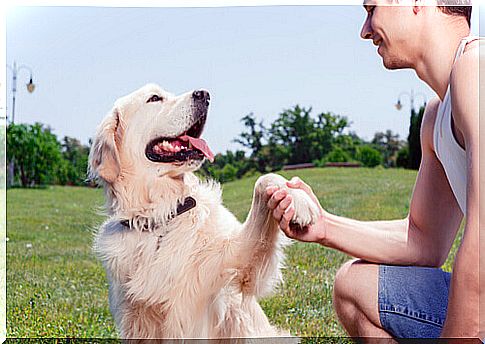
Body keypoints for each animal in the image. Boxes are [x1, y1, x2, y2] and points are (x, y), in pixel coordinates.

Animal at [89, 84, 320, 338]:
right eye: (154, 98)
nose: (204, 94)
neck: (162, 215)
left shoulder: (236, 268)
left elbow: (264, 178)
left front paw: (298, 199)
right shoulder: (136, 320)